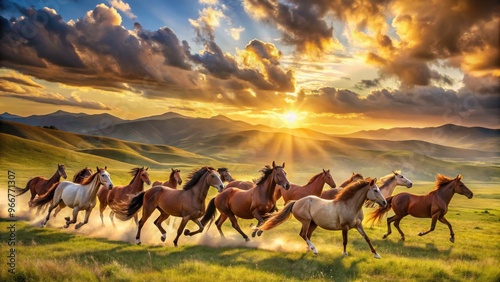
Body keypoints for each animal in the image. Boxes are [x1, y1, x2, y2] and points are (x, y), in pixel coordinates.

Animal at [258, 178, 386, 258]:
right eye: (375, 190)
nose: (384, 203)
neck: (350, 205)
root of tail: (296, 202)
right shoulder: (345, 227)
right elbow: (345, 240)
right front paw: (344, 254)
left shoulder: (358, 225)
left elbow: (367, 238)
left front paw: (376, 254)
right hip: (306, 221)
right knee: (303, 234)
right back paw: (314, 250)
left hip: (313, 223)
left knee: (307, 235)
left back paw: (309, 249)